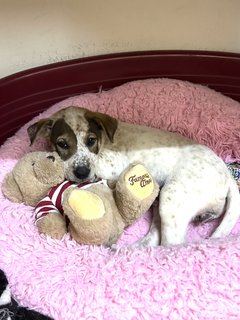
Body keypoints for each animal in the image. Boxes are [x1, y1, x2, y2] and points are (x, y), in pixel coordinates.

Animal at [27, 106, 240, 246]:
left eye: (91, 140)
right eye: (62, 144)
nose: (82, 173)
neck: (104, 141)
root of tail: (227, 174)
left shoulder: (113, 163)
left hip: (171, 197)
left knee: (173, 244)